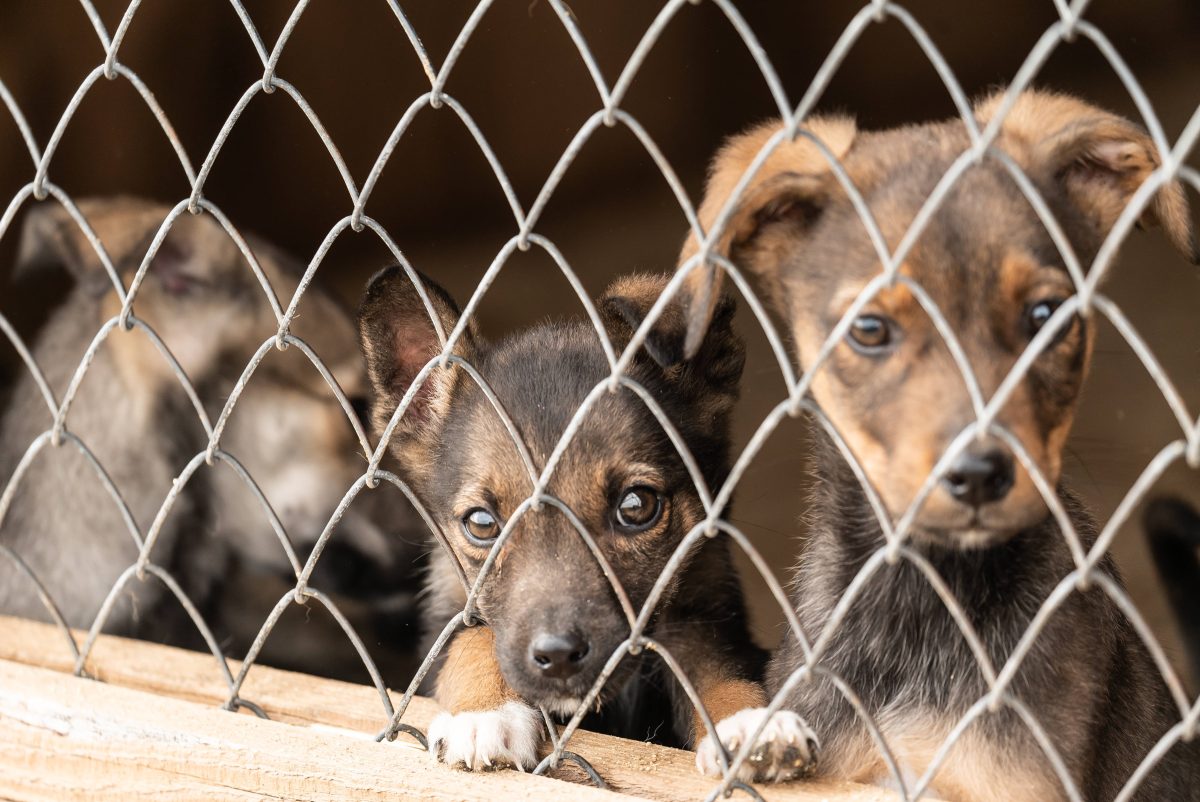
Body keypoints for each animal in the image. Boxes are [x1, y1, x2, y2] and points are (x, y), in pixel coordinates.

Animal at [355, 267, 796, 768]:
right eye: (482, 524)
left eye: (636, 506)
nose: (559, 657)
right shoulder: (448, 613)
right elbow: (471, 638)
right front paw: (484, 712)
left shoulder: (703, 614)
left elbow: (714, 667)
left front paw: (749, 721)